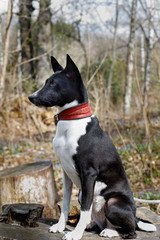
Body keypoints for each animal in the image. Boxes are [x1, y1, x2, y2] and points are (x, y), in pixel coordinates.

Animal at [28, 55, 156, 239]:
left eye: (53, 83)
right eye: (46, 82)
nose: (30, 97)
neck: (72, 121)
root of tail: (135, 215)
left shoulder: (89, 174)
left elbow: (84, 210)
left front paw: (75, 234)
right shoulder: (66, 173)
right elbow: (65, 204)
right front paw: (60, 226)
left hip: (113, 202)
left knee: (130, 230)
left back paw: (111, 231)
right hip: (82, 193)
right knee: (103, 222)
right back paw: (96, 227)